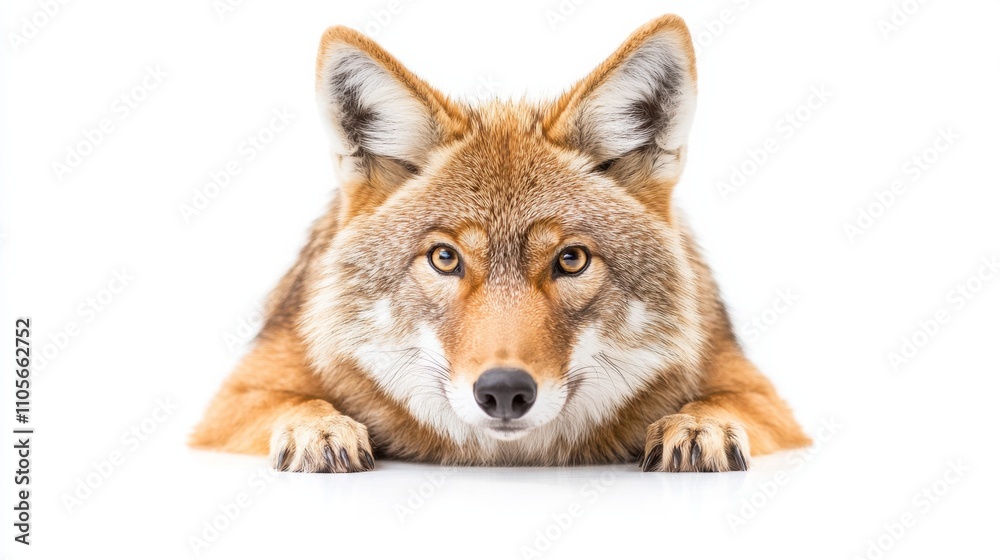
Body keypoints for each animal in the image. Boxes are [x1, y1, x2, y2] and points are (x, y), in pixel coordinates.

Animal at [190, 14, 811, 473]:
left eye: (571, 260)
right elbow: (296, 401)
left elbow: (722, 401)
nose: (505, 392)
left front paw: (699, 423)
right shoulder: (235, 397)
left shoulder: (758, 392)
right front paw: (316, 426)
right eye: (445, 258)